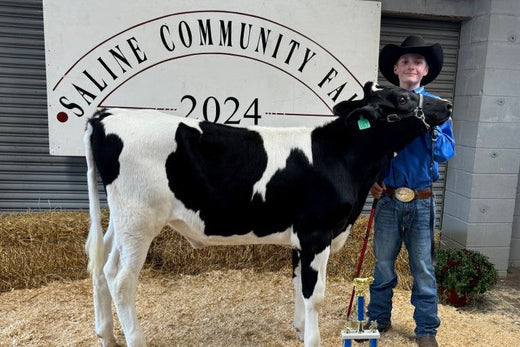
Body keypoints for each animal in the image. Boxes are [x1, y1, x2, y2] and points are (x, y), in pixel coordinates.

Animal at [84, 81, 450, 346]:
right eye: (402, 98)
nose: (446, 105)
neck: (339, 157)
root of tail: (107, 115)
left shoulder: (301, 238)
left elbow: (298, 285)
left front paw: (300, 330)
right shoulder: (316, 234)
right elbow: (314, 295)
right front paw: (313, 340)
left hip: (121, 221)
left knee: (101, 267)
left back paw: (106, 336)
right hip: (139, 221)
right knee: (121, 280)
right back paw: (134, 339)